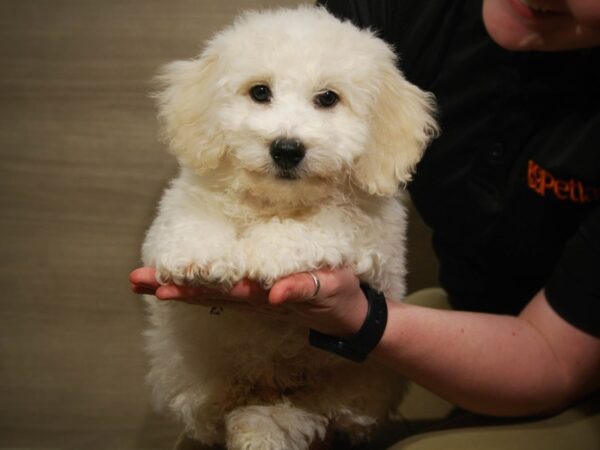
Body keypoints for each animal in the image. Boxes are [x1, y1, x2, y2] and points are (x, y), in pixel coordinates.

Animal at [143, 6, 438, 450]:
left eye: (328, 98)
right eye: (260, 92)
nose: (286, 148)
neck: (277, 202)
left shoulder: (373, 236)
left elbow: (328, 224)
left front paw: (270, 251)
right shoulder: (186, 199)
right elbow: (190, 218)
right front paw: (200, 257)